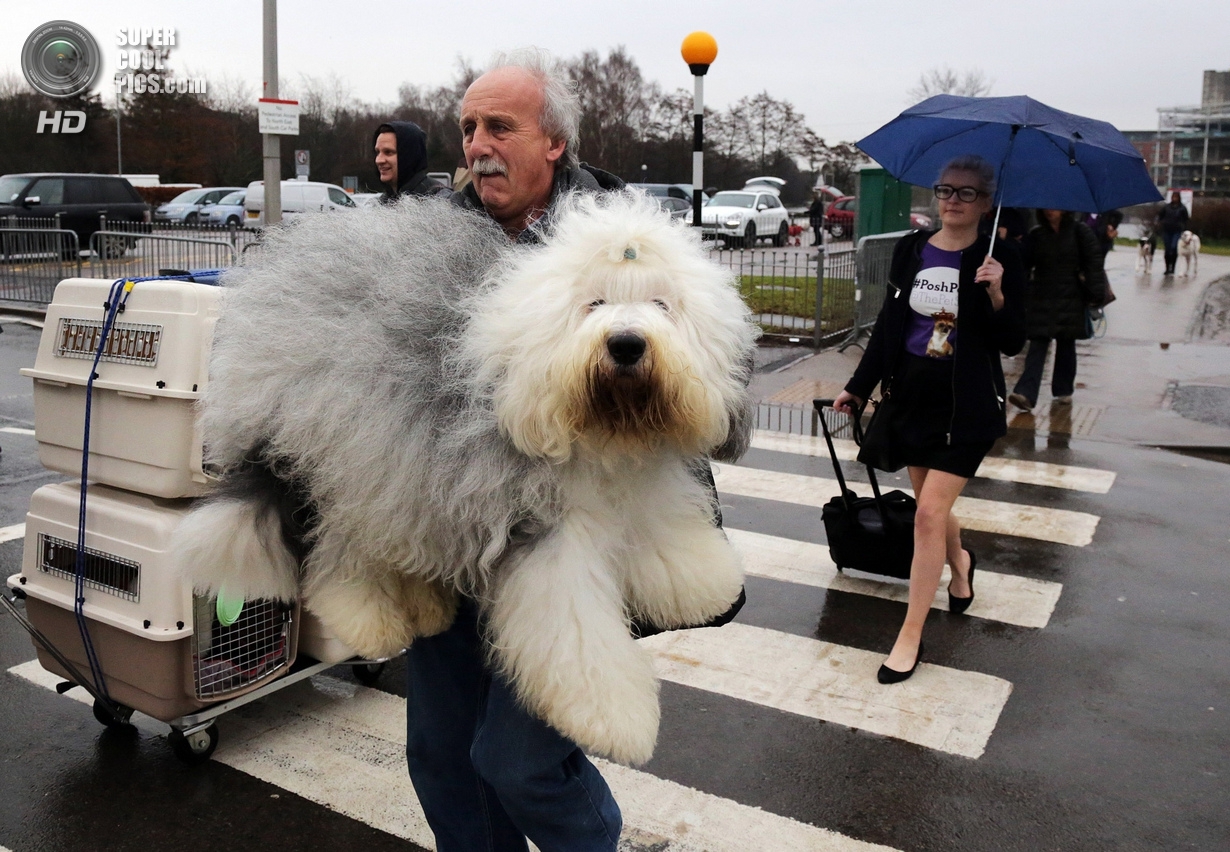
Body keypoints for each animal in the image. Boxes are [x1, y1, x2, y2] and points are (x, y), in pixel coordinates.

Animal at [175, 193, 757, 762]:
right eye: (592, 304)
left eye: (663, 305)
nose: (627, 344)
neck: (604, 429)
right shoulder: (546, 529)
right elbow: (575, 628)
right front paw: (611, 720)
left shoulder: (640, 488)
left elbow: (666, 538)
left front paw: (705, 585)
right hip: (353, 448)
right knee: (342, 551)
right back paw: (367, 620)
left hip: (399, 466)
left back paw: (425, 607)